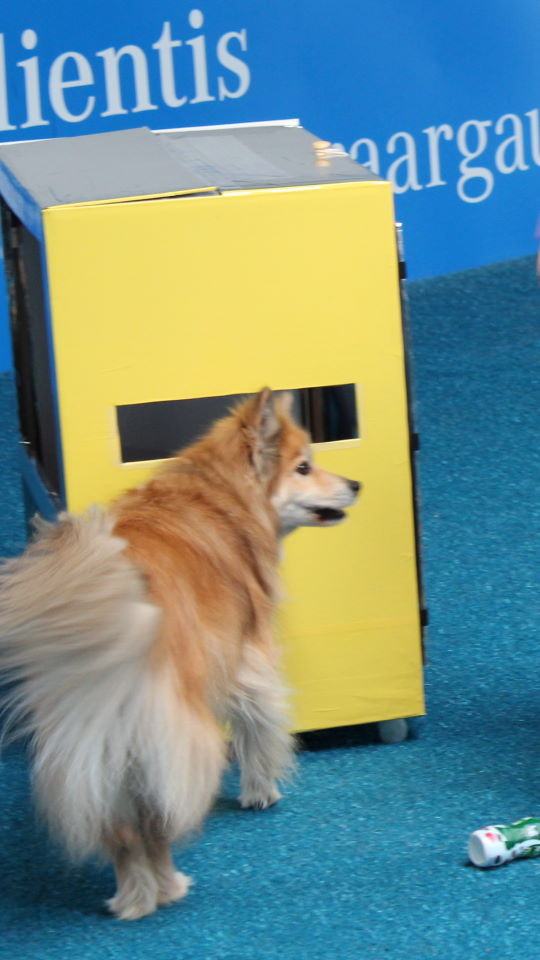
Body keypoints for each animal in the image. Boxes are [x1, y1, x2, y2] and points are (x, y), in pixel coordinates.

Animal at [0, 388, 360, 919]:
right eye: (303, 467)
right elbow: (259, 730)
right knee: (155, 825)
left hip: (99, 753)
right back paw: (169, 887)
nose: (355, 483)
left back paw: (134, 900)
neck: (222, 502)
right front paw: (261, 791)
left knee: (124, 833)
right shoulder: (249, 660)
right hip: (171, 739)